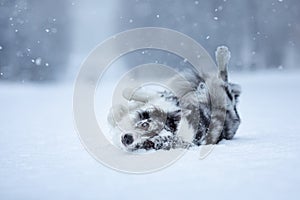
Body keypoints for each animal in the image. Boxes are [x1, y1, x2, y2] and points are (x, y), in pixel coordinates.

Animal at [108, 45, 241, 152]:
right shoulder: (163, 99)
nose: (127, 139)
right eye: (145, 125)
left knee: (224, 81)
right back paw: (222, 53)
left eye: (149, 144)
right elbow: (130, 94)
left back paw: (223, 54)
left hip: (224, 99)